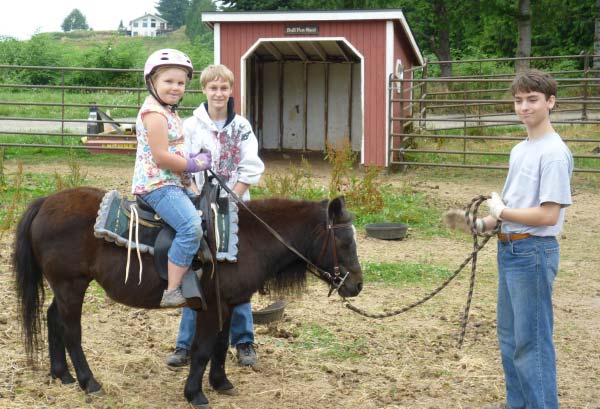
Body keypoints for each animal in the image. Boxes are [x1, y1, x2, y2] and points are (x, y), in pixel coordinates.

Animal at [11, 186, 364, 406]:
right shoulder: (211, 306)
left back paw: (62, 374)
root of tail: (45, 202)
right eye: (344, 242)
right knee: (71, 331)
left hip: (65, 287)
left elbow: (220, 346)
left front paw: (221, 383)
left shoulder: (228, 304)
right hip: (71, 285)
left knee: (53, 319)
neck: (248, 239)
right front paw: (195, 393)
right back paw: (89, 382)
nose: (357, 285)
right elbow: (203, 349)